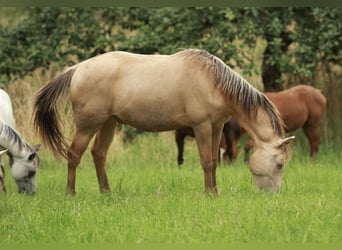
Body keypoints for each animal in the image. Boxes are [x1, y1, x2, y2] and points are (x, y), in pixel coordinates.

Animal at [34, 47, 294, 194]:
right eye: (280, 164)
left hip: (109, 122)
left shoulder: (217, 126)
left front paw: (215, 192)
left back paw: (106, 193)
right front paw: (209, 194)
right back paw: (71, 193)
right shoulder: (202, 126)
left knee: (98, 154)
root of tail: (78, 69)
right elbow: (206, 162)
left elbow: (213, 161)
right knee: (74, 155)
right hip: (88, 125)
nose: (274, 194)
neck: (213, 81)